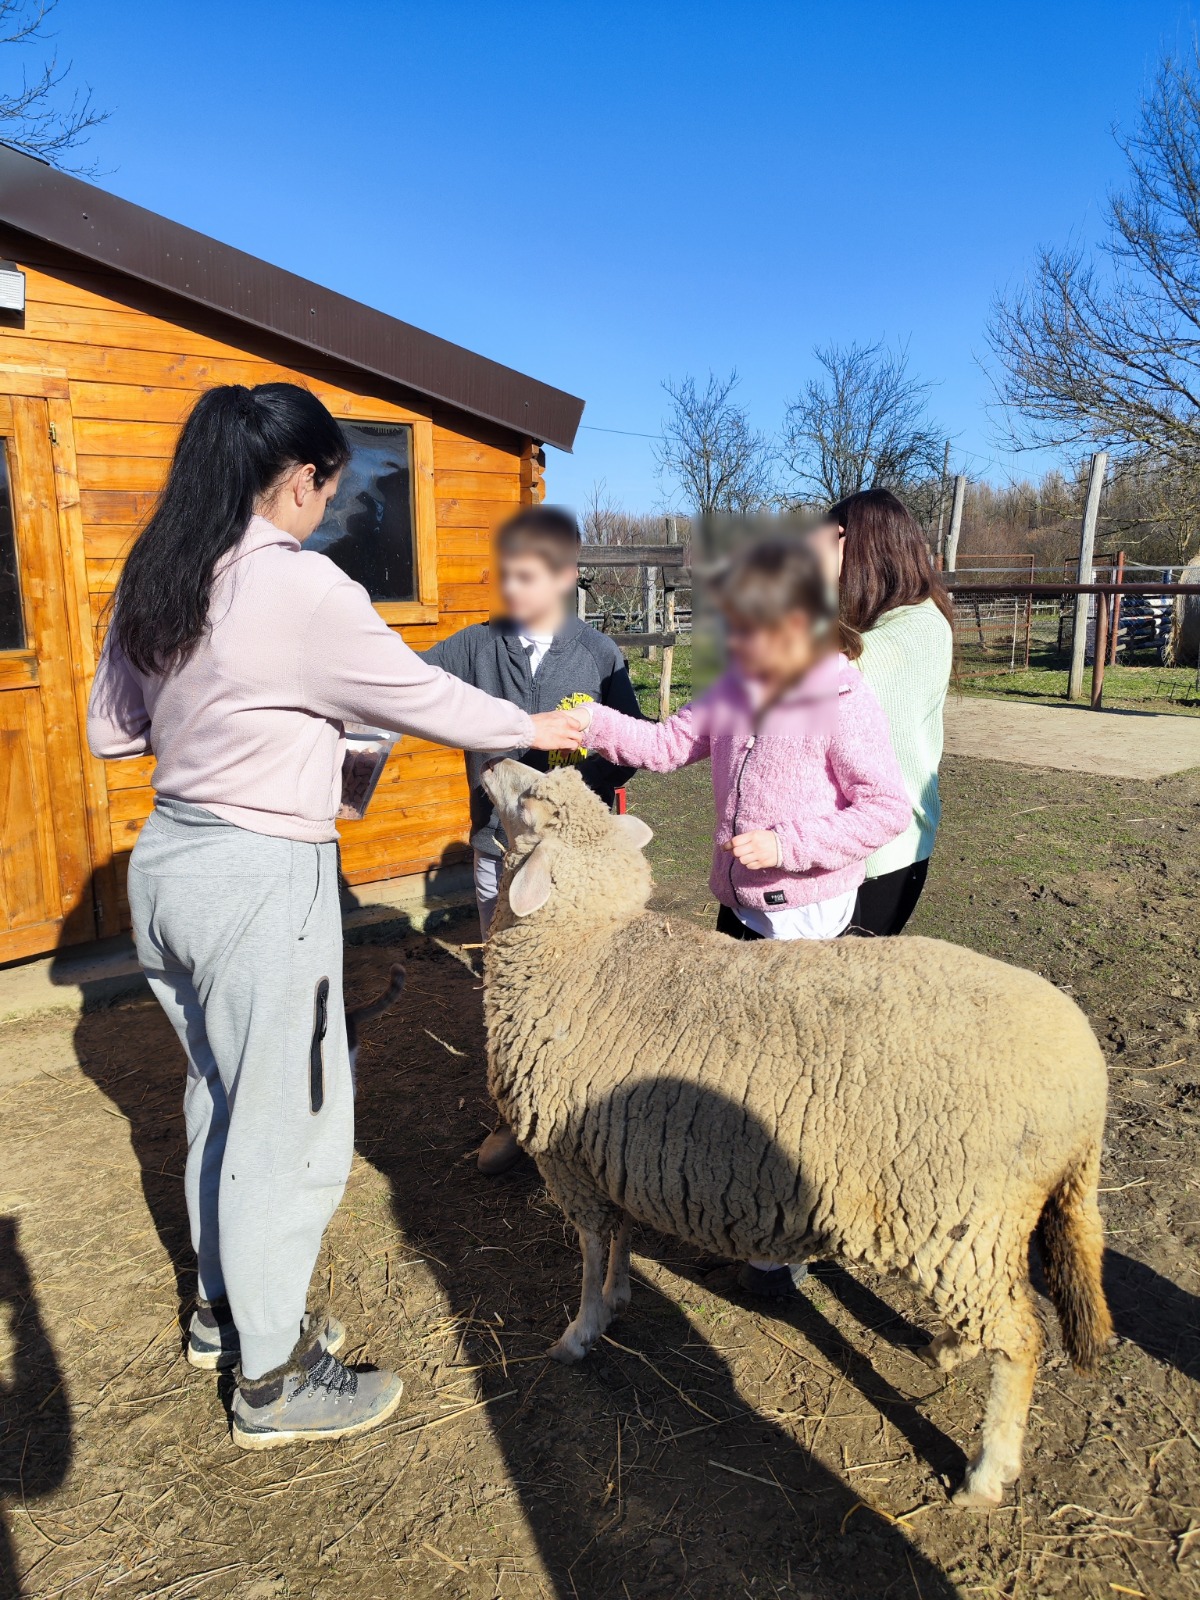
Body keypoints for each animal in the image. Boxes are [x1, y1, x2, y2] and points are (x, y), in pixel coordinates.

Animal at [479, 757, 1112, 1508]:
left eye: (530, 800)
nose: (494, 762)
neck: (581, 947)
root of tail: (1090, 1082)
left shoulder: (568, 1161)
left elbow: (589, 1253)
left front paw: (581, 1332)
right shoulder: (609, 1151)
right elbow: (621, 1238)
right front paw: (620, 1297)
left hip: (966, 1210)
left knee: (1020, 1336)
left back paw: (987, 1473)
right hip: (971, 1231)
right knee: (1001, 1315)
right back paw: (950, 1350)